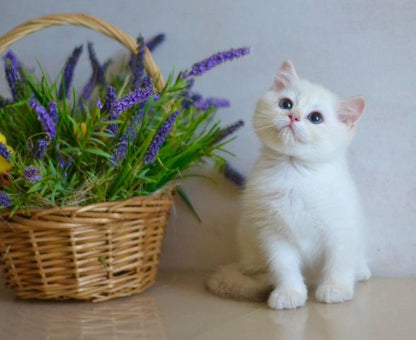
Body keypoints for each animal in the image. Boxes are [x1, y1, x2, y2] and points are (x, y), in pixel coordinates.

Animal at [206, 59, 372, 310]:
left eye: (316, 118)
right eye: (285, 104)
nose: (293, 116)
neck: (294, 172)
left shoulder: (340, 228)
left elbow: (339, 261)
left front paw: (336, 288)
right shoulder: (273, 234)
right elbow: (283, 267)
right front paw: (289, 293)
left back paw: (360, 272)